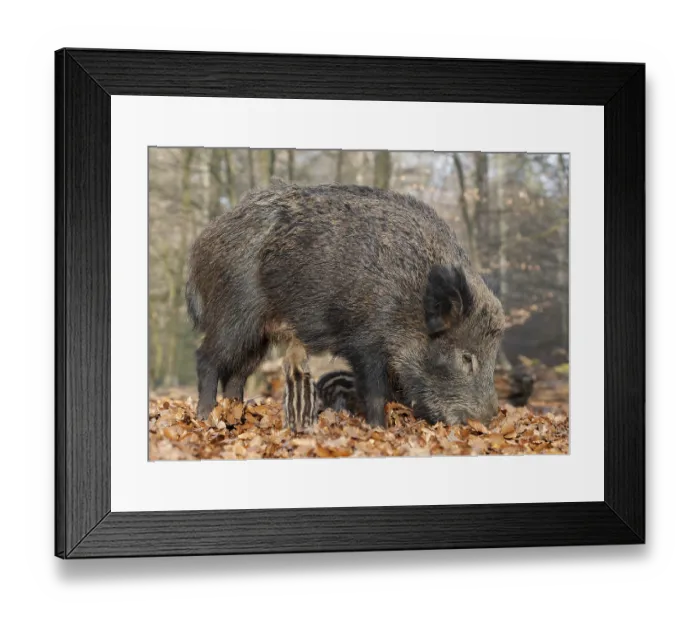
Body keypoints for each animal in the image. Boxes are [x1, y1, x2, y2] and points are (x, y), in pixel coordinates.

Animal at [186, 182, 506, 426]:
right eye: (466, 357)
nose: (487, 421)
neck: (411, 302)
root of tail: (201, 244)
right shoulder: (366, 341)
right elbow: (375, 391)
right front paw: (379, 427)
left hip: (259, 336)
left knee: (237, 373)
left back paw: (236, 411)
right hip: (234, 315)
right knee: (206, 358)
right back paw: (206, 415)